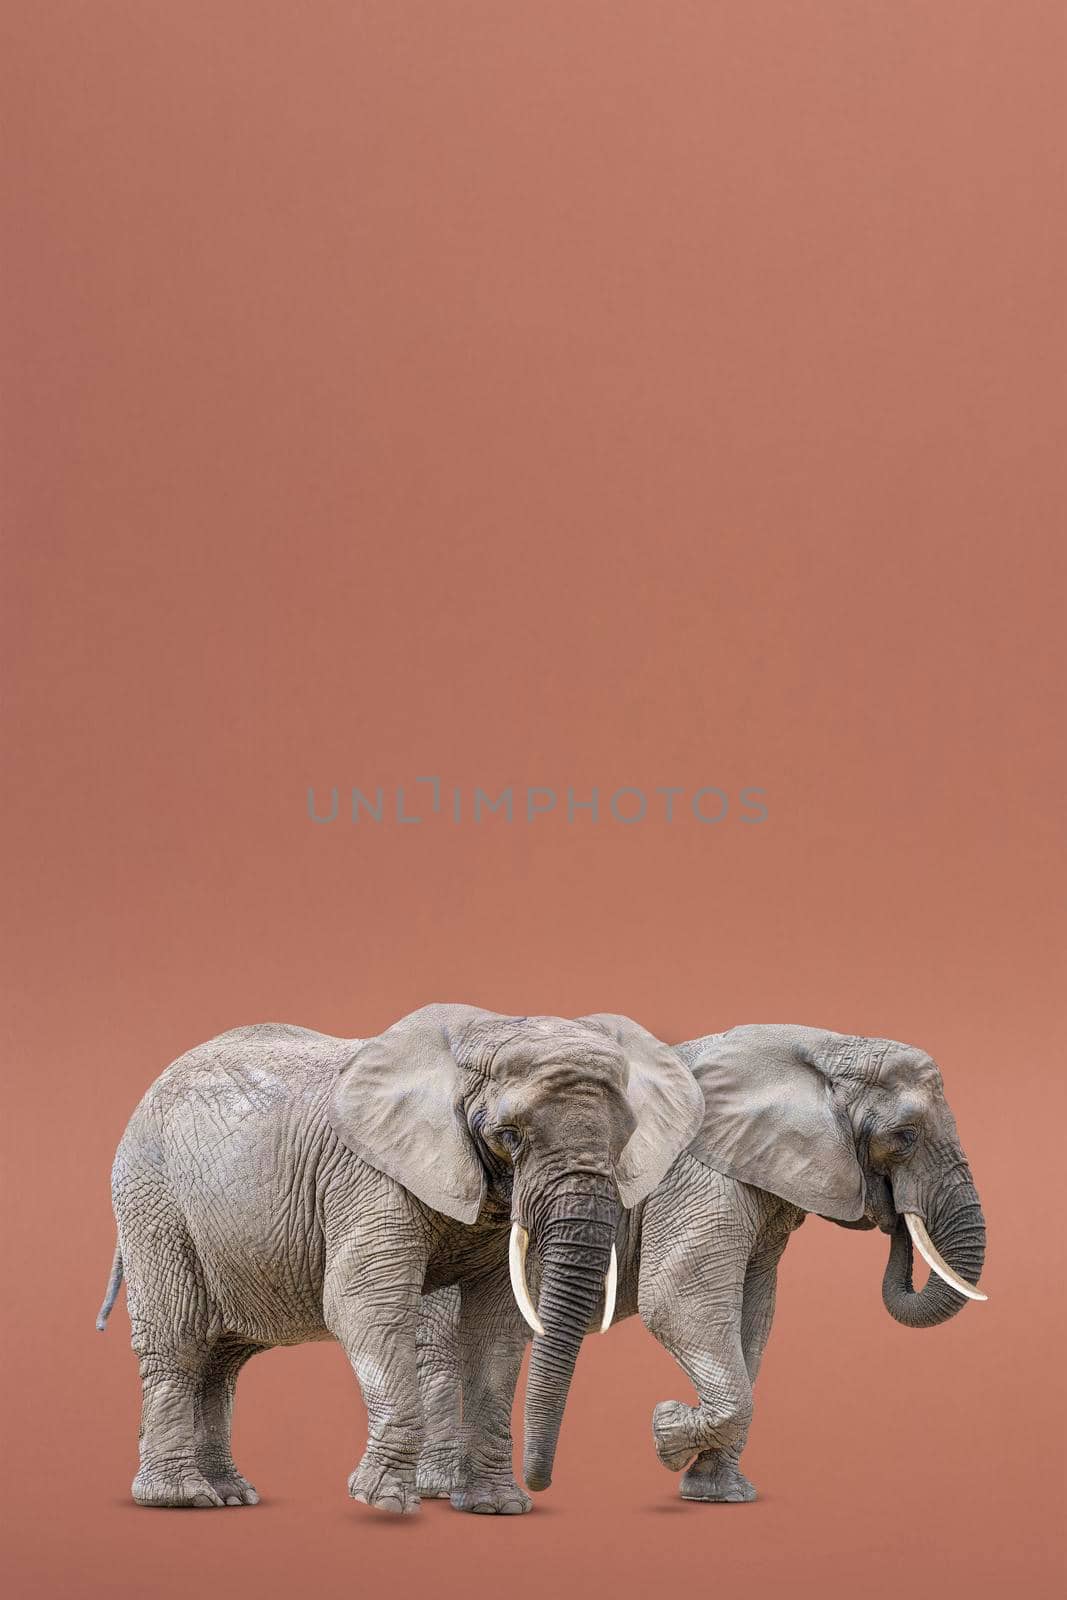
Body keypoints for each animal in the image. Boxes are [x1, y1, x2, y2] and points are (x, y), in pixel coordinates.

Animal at [97, 1004, 700, 1516]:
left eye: (626, 1139)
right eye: (509, 1136)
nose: (542, 1484)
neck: (484, 1036)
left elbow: (496, 1328)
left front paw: (497, 1508)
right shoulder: (366, 1176)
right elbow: (365, 1305)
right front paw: (384, 1503)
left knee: (223, 1359)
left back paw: (231, 1495)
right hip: (152, 1197)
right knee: (179, 1339)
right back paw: (182, 1499)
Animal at [412, 1024, 991, 1497]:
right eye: (905, 1138)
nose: (896, 1217)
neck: (822, 1046)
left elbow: (752, 1318)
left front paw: (720, 1495)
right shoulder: (699, 1176)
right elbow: (677, 1301)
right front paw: (665, 1428)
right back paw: (441, 1490)